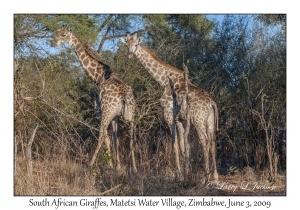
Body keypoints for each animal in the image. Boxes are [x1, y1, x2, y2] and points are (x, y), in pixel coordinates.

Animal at [52, 26, 137, 173]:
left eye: (63, 35)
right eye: (56, 32)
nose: (53, 43)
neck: (97, 77)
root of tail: (124, 96)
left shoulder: (101, 111)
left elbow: (106, 137)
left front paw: (110, 165)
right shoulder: (115, 115)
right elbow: (115, 137)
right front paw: (118, 166)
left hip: (108, 112)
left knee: (101, 134)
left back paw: (90, 164)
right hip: (130, 114)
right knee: (131, 136)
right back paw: (135, 168)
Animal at [121, 32, 218, 182]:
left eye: (136, 44)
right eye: (127, 44)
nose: (130, 54)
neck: (164, 81)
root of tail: (211, 103)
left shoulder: (168, 114)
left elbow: (175, 143)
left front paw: (178, 174)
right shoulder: (180, 119)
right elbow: (183, 143)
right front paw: (186, 171)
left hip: (198, 119)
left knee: (204, 140)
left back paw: (206, 177)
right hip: (209, 121)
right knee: (212, 141)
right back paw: (215, 176)